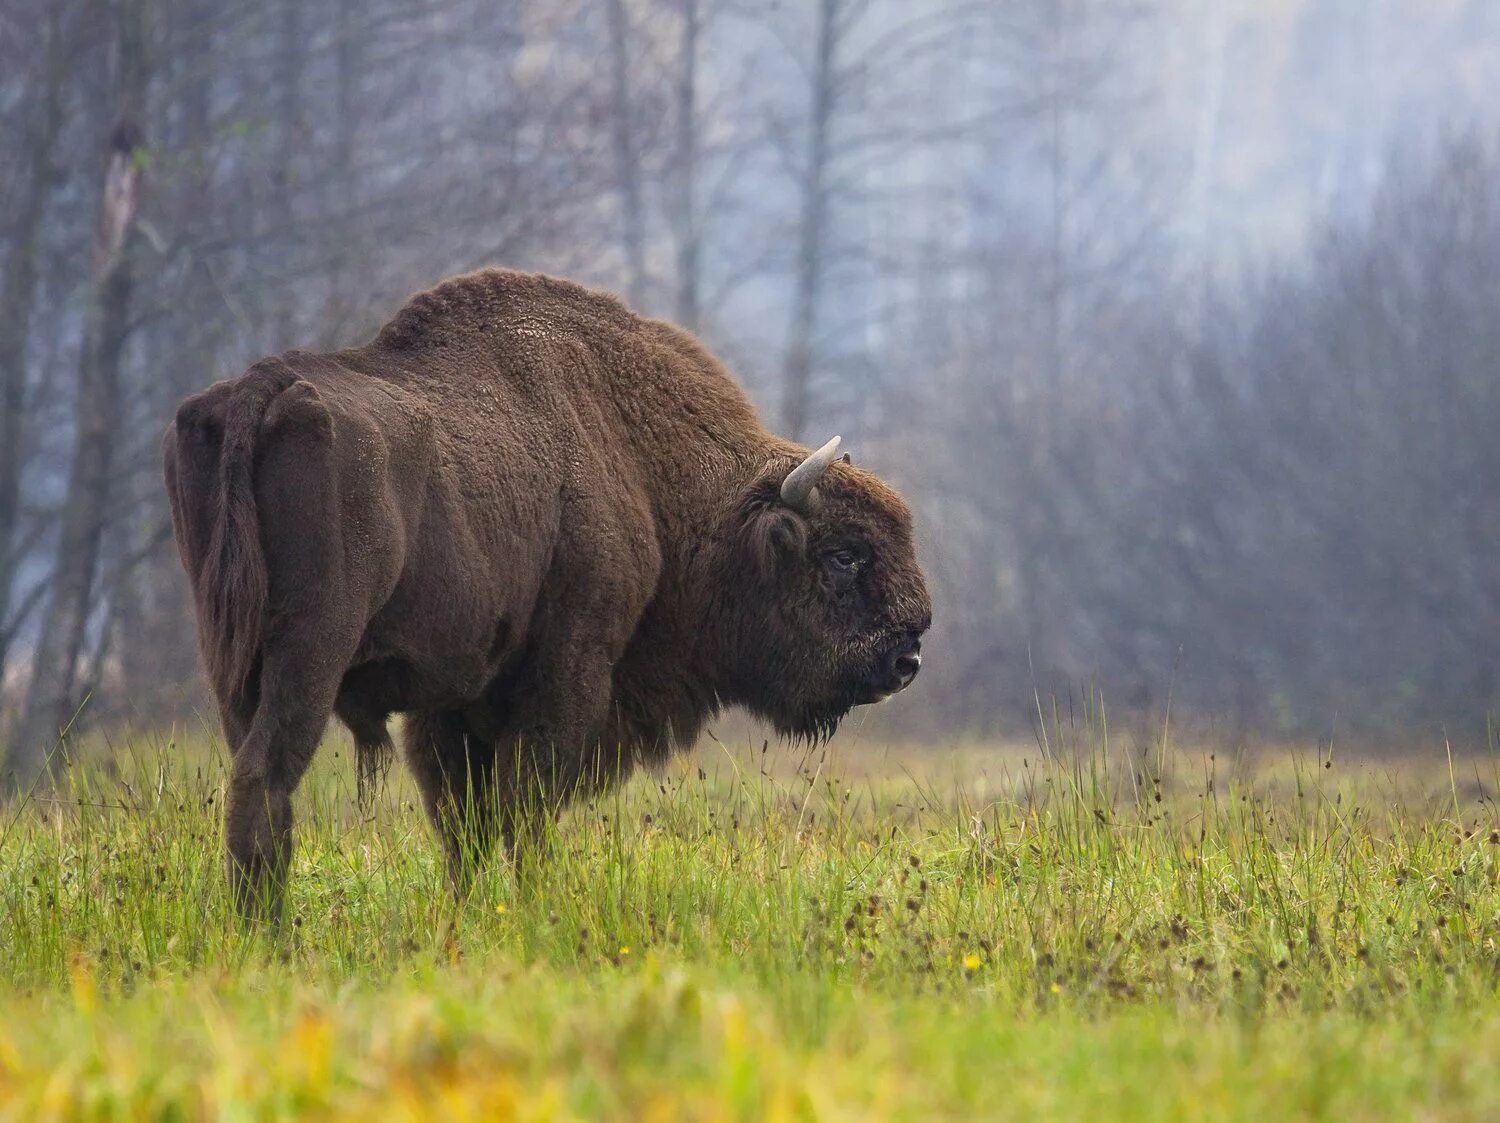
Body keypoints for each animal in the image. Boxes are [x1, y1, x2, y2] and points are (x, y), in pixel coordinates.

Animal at [170, 266, 930, 917]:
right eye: (844, 555)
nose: (907, 656)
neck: (643, 463)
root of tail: (261, 388)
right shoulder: (566, 676)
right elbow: (524, 808)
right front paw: (534, 908)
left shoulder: (452, 703)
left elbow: (466, 823)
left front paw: (470, 913)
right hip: (310, 653)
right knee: (265, 778)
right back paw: (270, 931)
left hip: (230, 662)